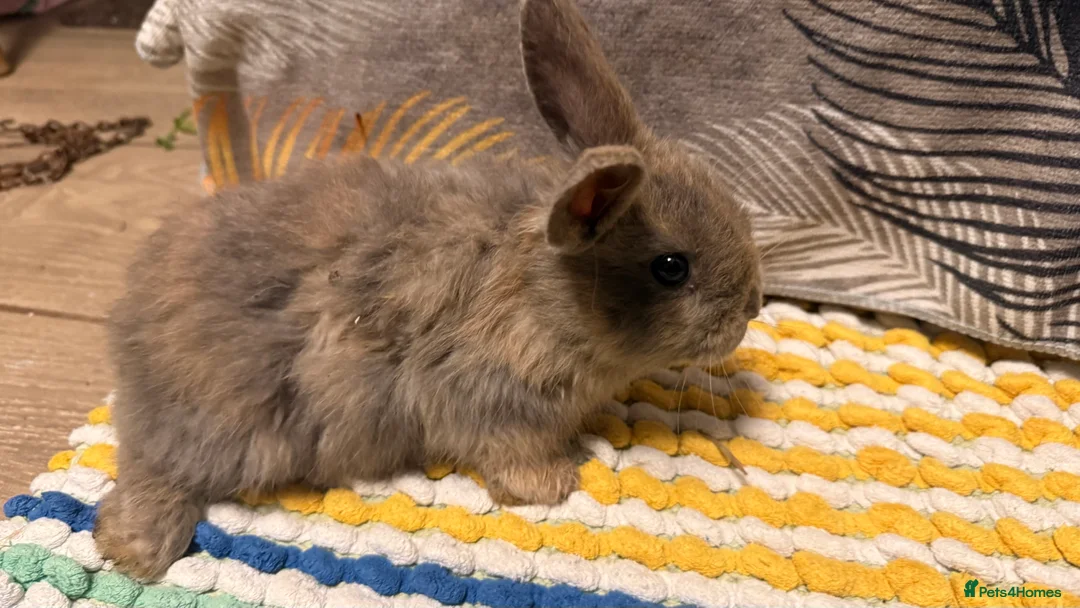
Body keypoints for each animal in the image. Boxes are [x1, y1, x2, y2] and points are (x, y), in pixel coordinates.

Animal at [93, 0, 763, 581]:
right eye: (671, 267)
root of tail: (129, 343)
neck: (550, 293)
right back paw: (135, 548)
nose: (752, 307)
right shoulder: (492, 401)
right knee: (156, 473)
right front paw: (554, 485)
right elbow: (509, 453)